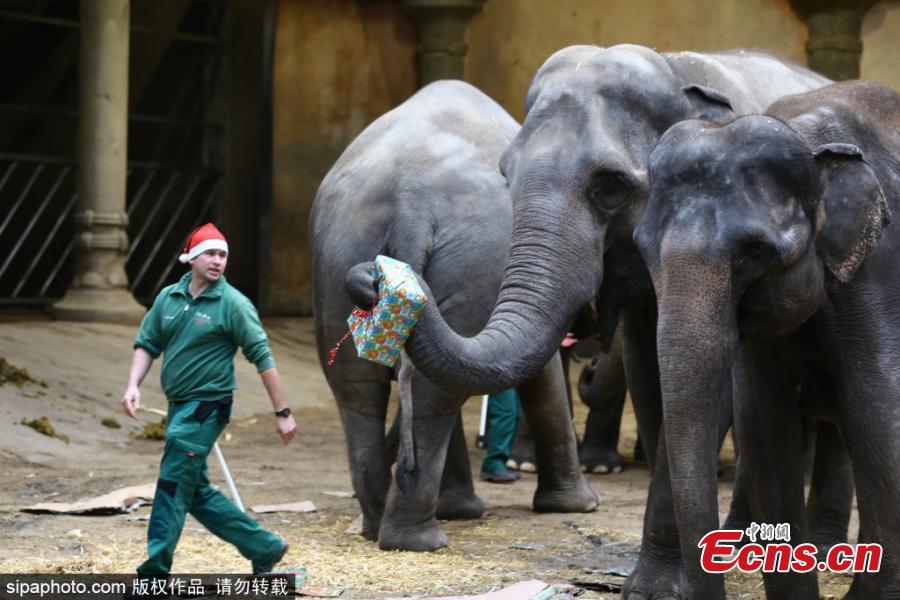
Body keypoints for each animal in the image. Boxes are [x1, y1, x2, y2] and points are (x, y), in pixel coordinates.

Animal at [310, 79, 596, 552]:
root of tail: (409, 194)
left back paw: (379, 525)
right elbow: (542, 372)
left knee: (358, 386)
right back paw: (422, 538)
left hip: (341, 249)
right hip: (479, 258)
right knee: (430, 392)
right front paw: (580, 507)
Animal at [344, 44, 844, 596]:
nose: (371, 276)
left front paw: (657, 588)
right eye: (505, 175)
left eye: (611, 186)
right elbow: (652, 387)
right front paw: (658, 582)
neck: (675, 69)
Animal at [632, 81, 900, 600]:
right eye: (641, 248)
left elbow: (879, 408)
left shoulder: (879, 271)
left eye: (752, 253)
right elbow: (764, 424)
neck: (806, 137)